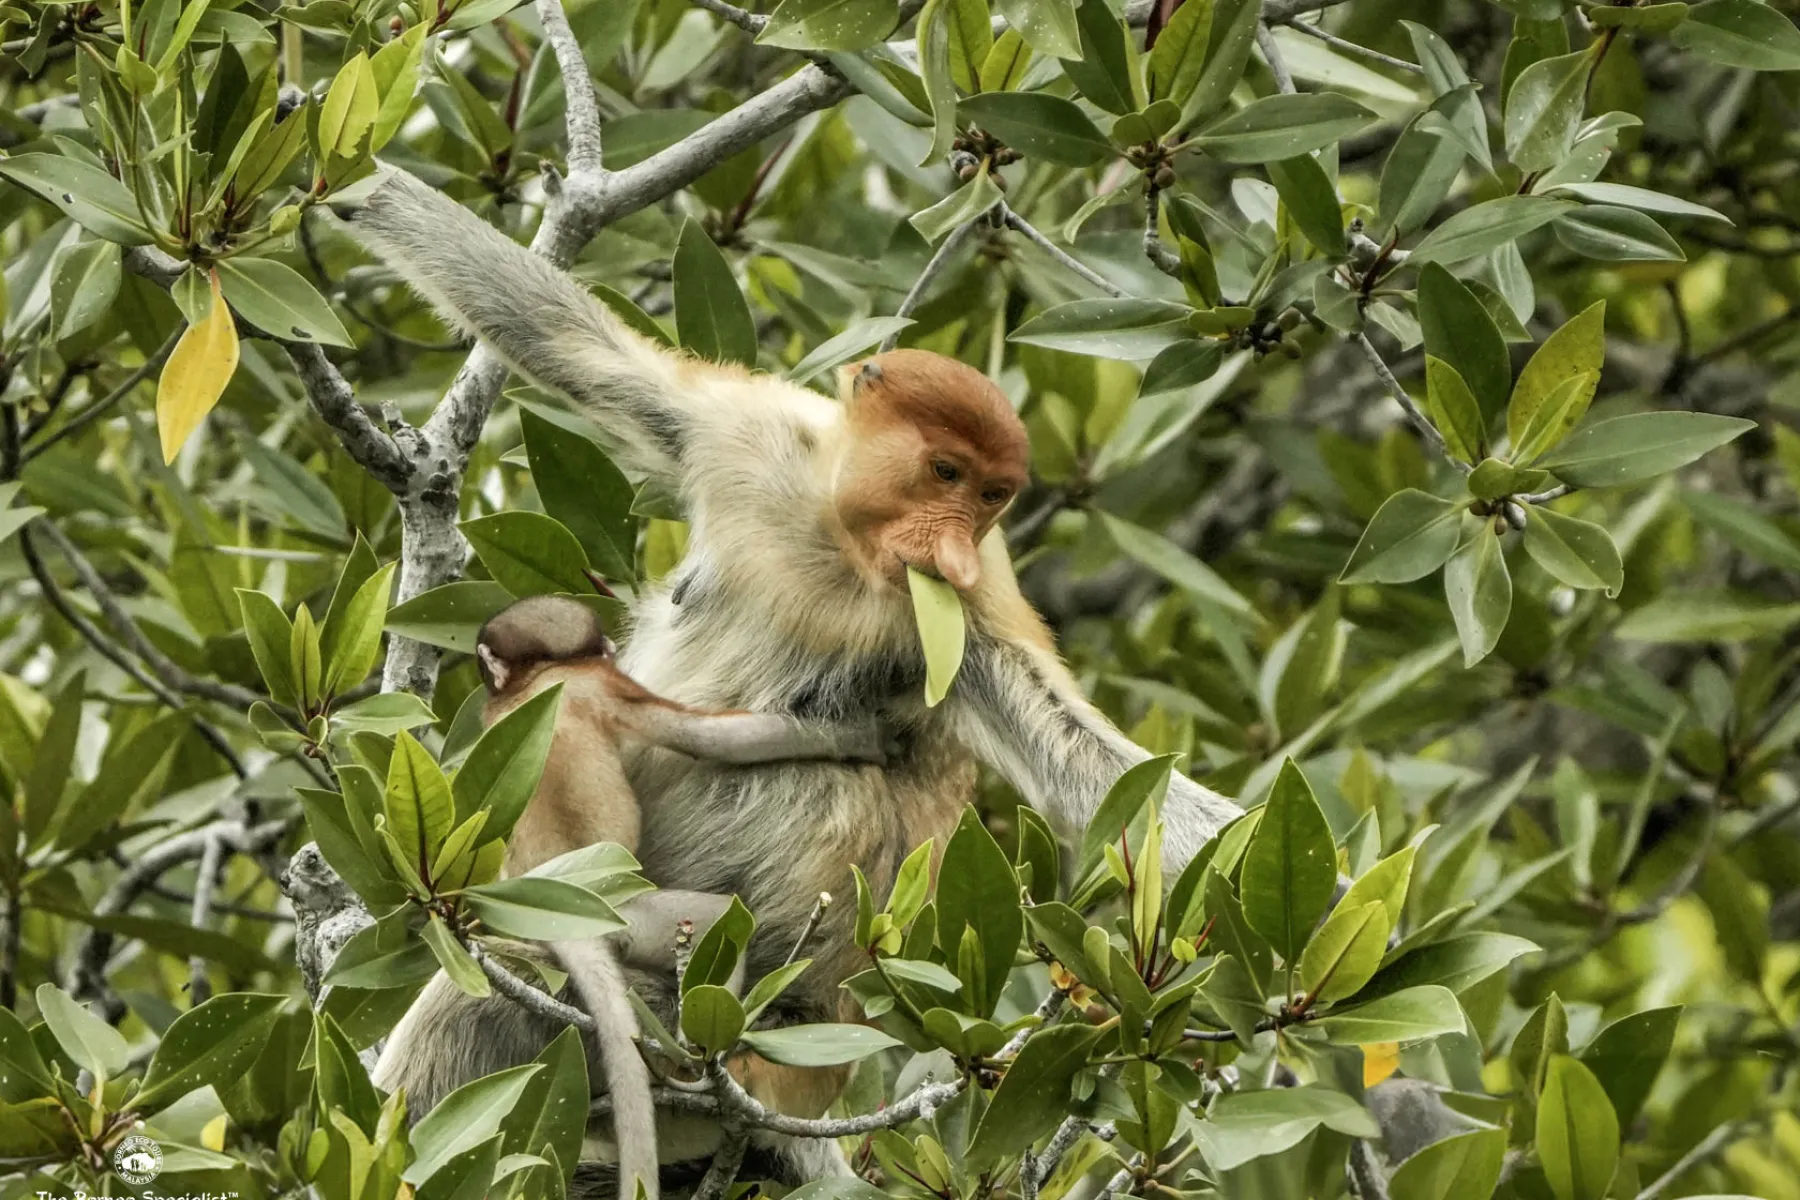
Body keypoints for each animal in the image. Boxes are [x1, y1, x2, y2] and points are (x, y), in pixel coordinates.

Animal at [374, 595, 889, 1200]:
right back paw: (703, 1047)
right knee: (719, 920)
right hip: (630, 915)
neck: (539, 679)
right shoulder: (610, 688)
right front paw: (860, 738)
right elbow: (707, 738)